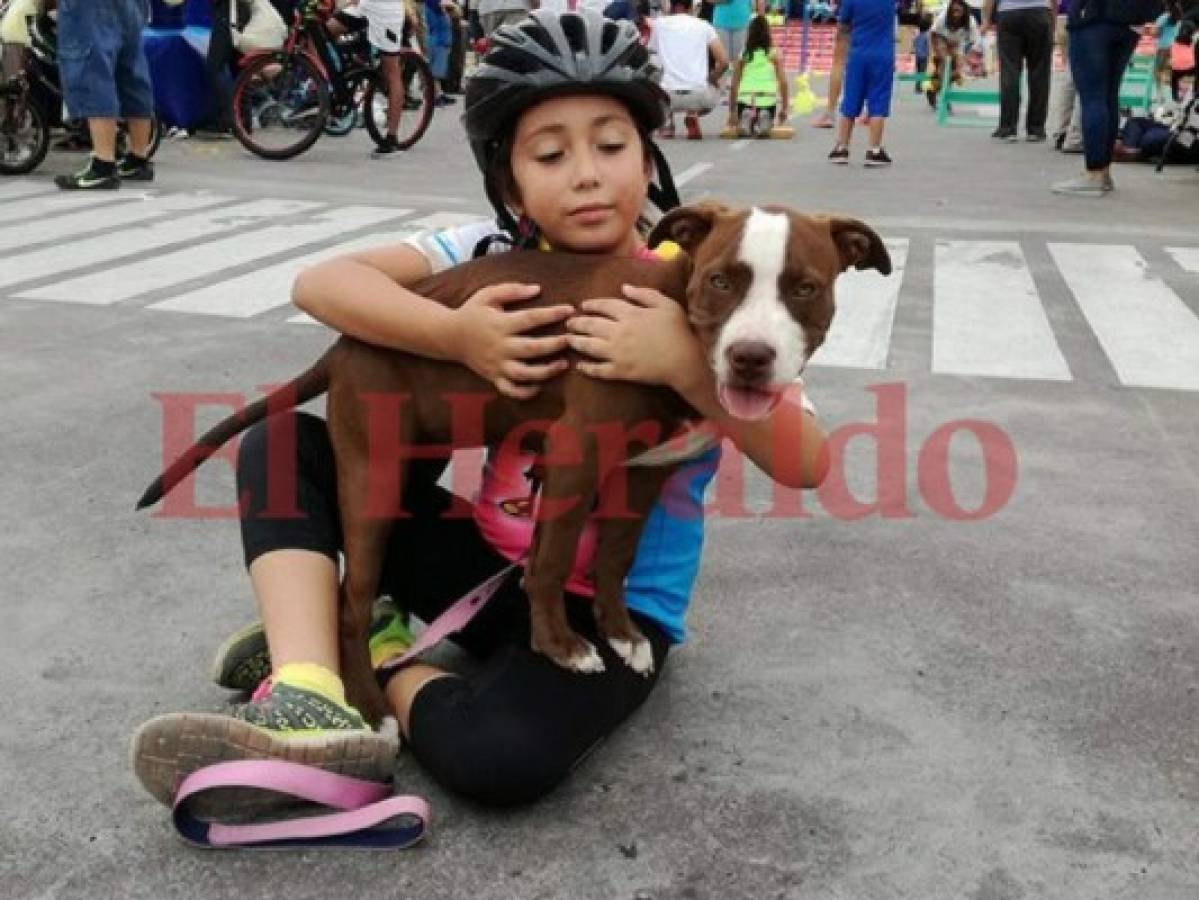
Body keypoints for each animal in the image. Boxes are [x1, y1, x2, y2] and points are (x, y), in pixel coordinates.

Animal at [137, 202, 892, 723]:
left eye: (804, 288)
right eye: (719, 281)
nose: (751, 357)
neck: (671, 317)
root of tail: (345, 342)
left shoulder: (644, 474)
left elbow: (613, 559)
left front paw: (621, 634)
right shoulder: (576, 455)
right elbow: (552, 559)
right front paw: (562, 645)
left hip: (414, 458)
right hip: (373, 472)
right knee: (349, 601)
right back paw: (369, 707)